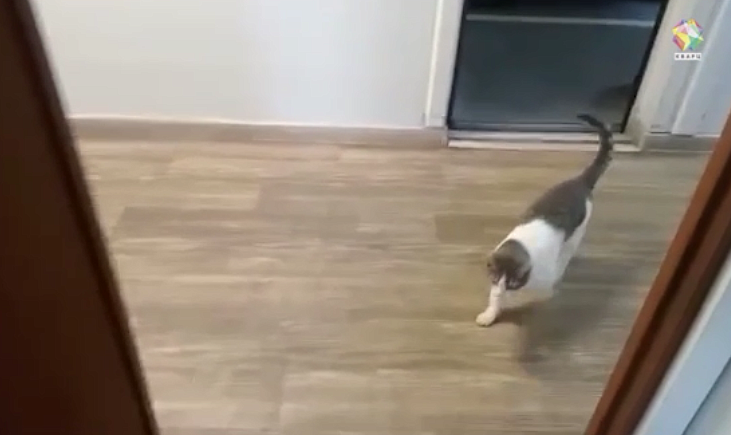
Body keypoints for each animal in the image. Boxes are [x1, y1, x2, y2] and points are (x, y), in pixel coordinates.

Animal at [476, 114, 614, 327]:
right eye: (494, 276)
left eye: (512, 282)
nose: (501, 291)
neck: (520, 245)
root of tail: (580, 181)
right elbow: (494, 299)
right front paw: (490, 312)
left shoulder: (541, 280)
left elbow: (541, 294)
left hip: (576, 234)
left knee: (566, 255)